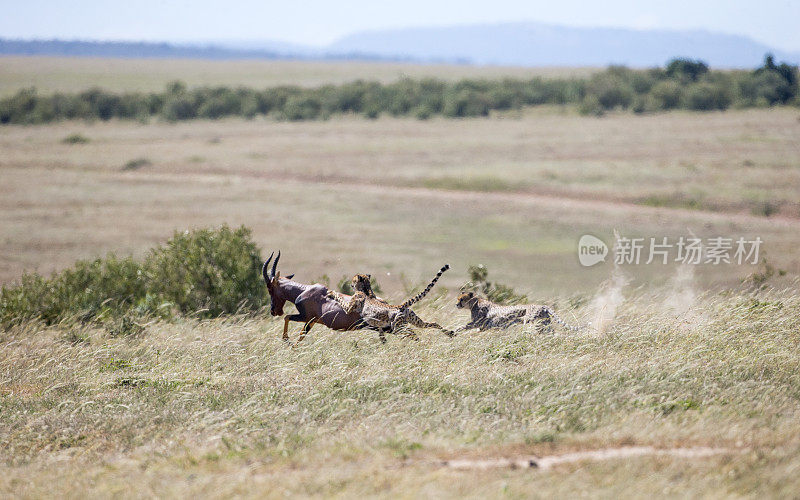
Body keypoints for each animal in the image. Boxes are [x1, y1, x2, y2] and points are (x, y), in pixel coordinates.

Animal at [326, 264, 454, 342]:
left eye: (353, 280)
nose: (350, 284)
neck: (366, 289)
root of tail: (401, 306)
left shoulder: (349, 308)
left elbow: (340, 299)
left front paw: (331, 292)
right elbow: (381, 332)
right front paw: (383, 341)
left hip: (398, 327)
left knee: (412, 333)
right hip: (415, 321)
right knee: (433, 323)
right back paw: (449, 333)